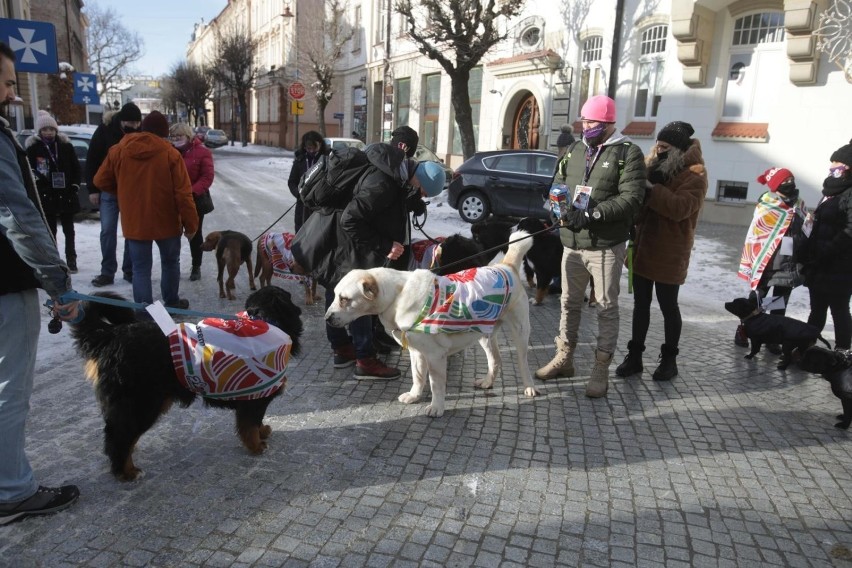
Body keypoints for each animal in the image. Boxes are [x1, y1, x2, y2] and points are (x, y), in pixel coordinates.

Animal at [70, 288, 302, 480]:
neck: (265, 324)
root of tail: (111, 336)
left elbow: (257, 422)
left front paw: (263, 431)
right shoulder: (254, 397)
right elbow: (250, 425)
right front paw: (256, 446)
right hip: (142, 404)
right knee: (118, 437)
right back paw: (126, 471)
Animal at [326, 231, 540, 418]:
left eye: (344, 299)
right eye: (335, 295)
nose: (327, 318)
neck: (397, 296)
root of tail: (506, 266)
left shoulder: (436, 356)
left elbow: (435, 384)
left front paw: (436, 407)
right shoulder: (417, 352)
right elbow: (418, 376)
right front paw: (414, 396)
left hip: (521, 332)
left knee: (523, 362)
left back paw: (529, 387)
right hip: (484, 334)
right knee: (496, 360)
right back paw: (488, 382)